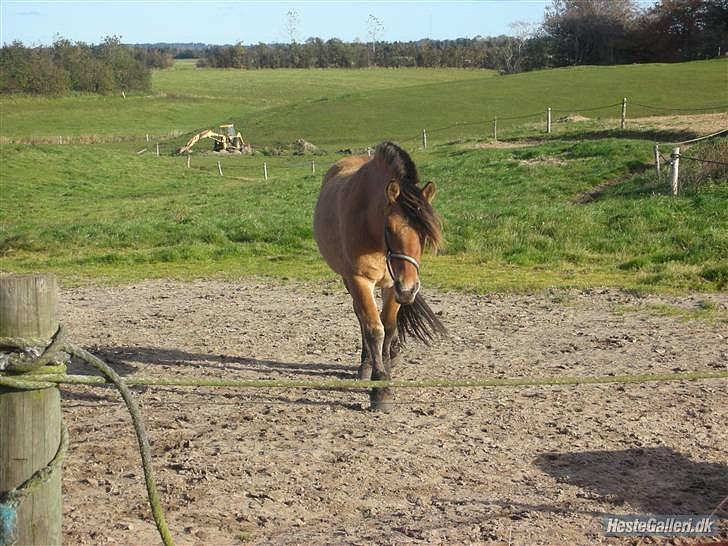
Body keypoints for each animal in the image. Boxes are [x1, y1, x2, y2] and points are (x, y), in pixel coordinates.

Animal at [314, 140, 446, 408]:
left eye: (425, 233)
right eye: (389, 227)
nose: (409, 289)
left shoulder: (392, 284)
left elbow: (390, 327)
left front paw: (387, 365)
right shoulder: (360, 280)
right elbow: (375, 330)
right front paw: (380, 387)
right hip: (349, 280)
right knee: (361, 317)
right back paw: (365, 365)